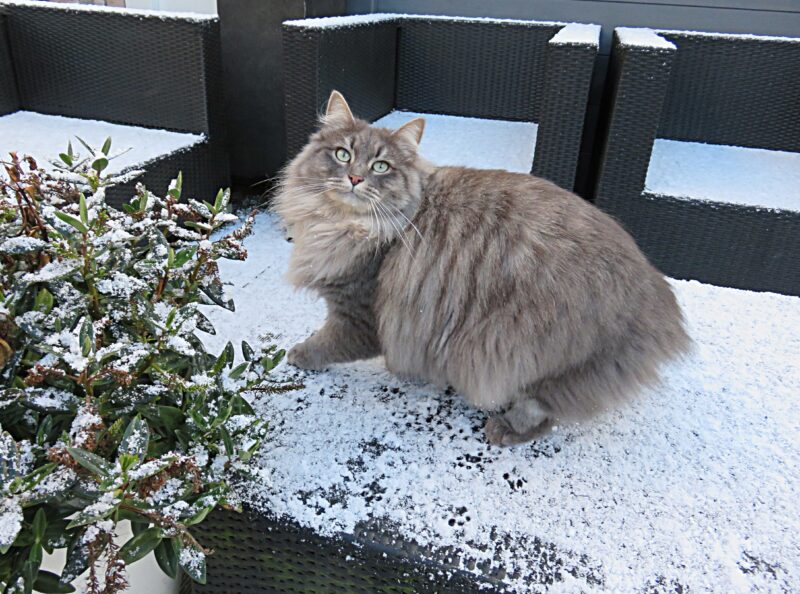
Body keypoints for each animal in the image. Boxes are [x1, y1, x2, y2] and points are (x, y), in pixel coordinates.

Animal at [274, 90, 688, 444]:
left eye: (381, 166)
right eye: (342, 155)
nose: (355, 178)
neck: (342, 225)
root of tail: (659, 299)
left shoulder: (359, 313)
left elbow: (326, 343)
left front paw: (298, 355)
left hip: (527, 354)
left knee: (543, 411)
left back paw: (503, 429)